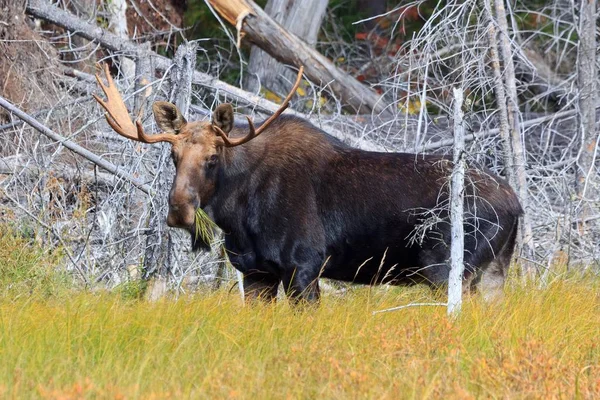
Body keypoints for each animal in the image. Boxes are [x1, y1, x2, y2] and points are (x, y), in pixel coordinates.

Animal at [92, 65, 520, 304]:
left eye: (214, 158)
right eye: (172, 156)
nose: (179, 210)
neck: (239, 216)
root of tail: (517, 204)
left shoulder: (304, 266)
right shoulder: (256, 272)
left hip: (450, 269)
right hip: (493, 272)